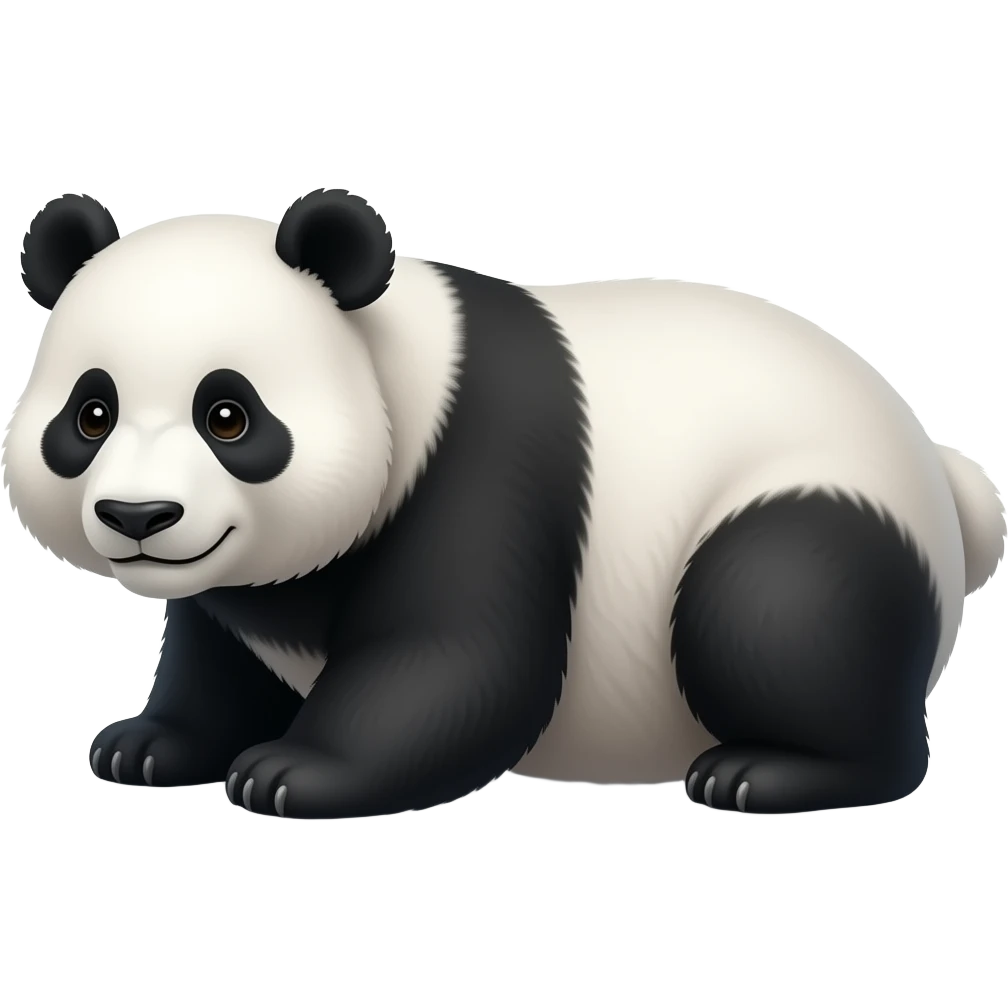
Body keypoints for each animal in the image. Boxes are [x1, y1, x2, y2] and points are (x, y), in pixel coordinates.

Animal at [5, 188, 1005, 821]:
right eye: (91, 413)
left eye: (229, 414)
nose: (140, 517)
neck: (393, 359)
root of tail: (936, 473)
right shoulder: (242, 584)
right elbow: (218, 658)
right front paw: (144, 746)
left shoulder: (481, 463)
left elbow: (457, 660)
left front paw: (294, 771)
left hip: (814, 505)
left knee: (775, 605)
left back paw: (767, 771)